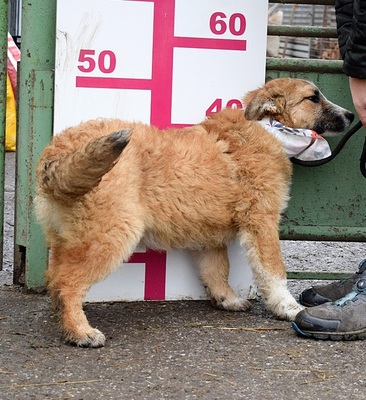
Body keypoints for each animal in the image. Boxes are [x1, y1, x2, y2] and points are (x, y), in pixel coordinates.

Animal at [35, 79, 354, 346]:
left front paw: (226, 299)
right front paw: (288, 307)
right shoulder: (262, 222)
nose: (351, 116)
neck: (270, 129)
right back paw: (79, 331)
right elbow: (274, 272)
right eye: (313, 98)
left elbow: (216, 269)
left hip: (71, 237)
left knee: (56, 278)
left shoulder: (208, 234)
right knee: (67, 283)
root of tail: (56, 154)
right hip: (111, 234)